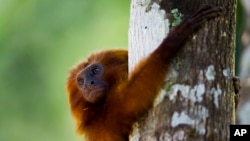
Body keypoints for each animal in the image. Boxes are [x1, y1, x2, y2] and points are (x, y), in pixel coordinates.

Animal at [66, 4, 223, 140]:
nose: (88, 84)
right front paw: (174, 39)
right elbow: (131, 99)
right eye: (81, 81)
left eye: (95, 70)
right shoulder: (104, 120)